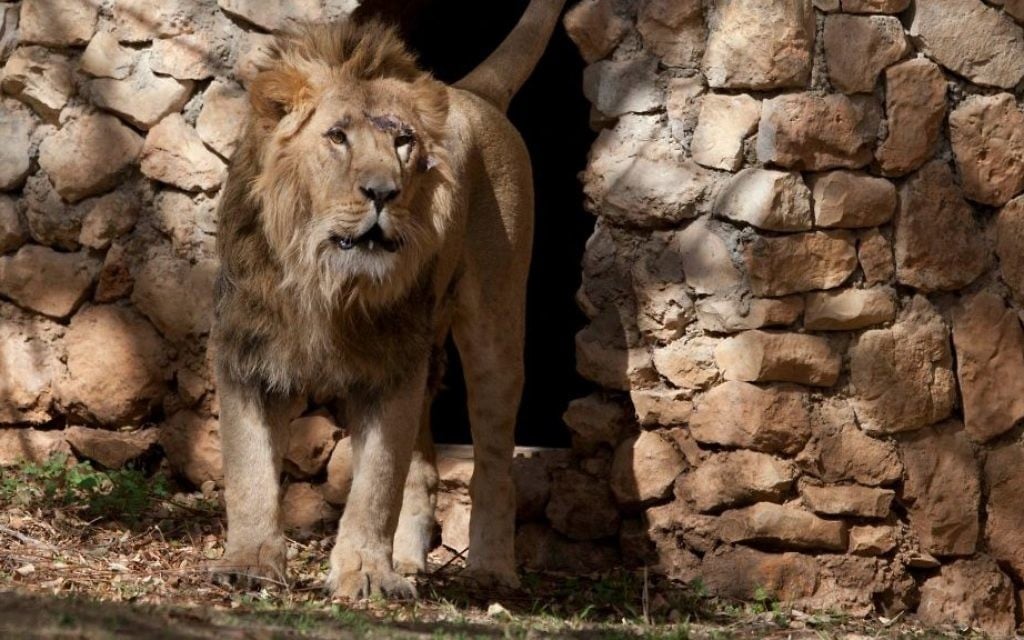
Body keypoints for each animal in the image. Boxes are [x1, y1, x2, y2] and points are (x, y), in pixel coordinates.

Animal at [210, 0, 568, 600]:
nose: (384, 192)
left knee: (494, 464)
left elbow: (376, 483)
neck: (323, 279)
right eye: (337, 137)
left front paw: (364, 573)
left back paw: (492, 571)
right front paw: (250, 563)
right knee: (423, 470)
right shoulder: (247, 354)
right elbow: (250, 472)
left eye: (404, 143)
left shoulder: (392, 365)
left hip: (494, 330)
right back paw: (408, 560)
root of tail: (472, 91)